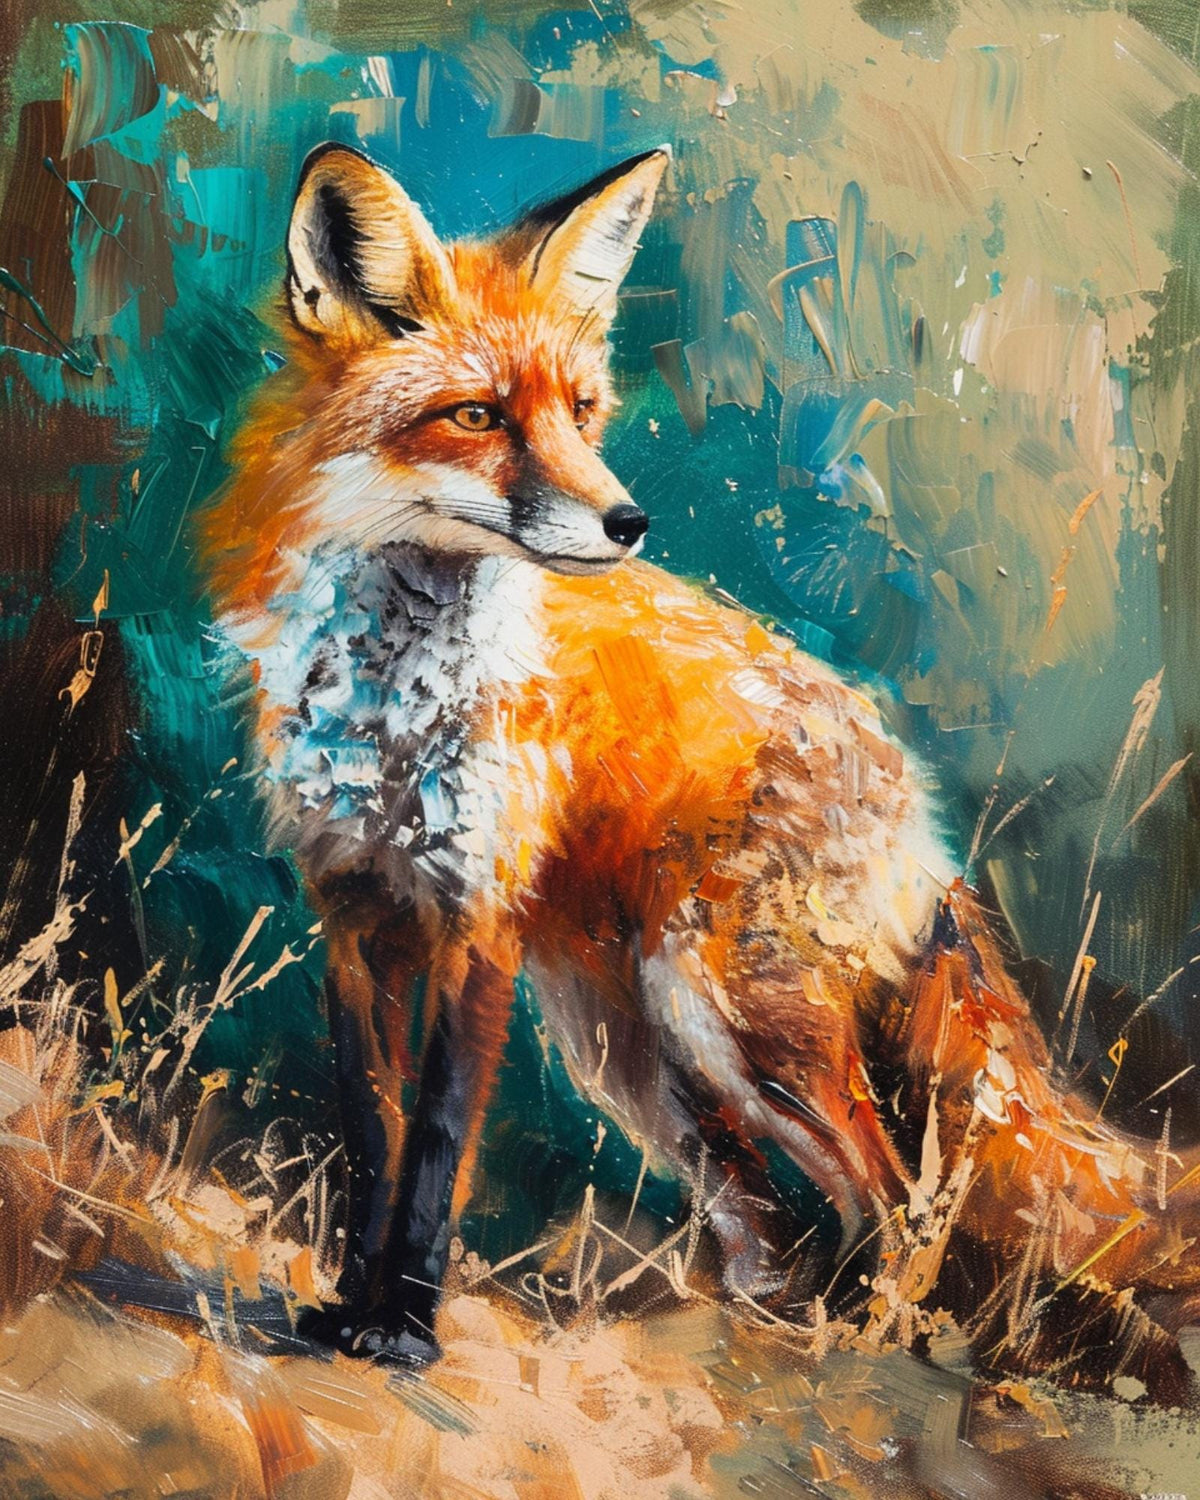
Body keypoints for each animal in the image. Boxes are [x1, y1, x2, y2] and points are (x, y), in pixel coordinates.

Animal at [202, 141, 1200, 1389]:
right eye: (476, 415)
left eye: (582, 411)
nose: (629, 521)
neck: (396, 702)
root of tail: (916, 803)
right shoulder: (349, 910)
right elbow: (372, 1137)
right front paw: (347, 1311)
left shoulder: (476, 924)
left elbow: (433, 1145)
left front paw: (407, 1327)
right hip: (630, 1050)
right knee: (761, 1208)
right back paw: (758, 1322)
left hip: (726, 1017)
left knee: (898, 1195)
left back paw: (864, 1341)